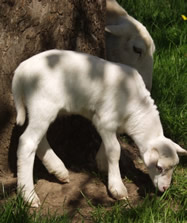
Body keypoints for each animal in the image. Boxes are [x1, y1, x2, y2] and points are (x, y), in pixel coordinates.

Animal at [11, 49, 186, 207]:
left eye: (173, 167)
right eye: (159, 167)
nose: (164, 188)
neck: (136, 105)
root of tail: (20, 71)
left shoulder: (109, 124)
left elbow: (109, 146)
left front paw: (102, 164)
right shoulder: (105, 121)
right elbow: (115, 150)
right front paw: (117, 187)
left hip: (40, 109)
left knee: (39, 141)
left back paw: (58, 170)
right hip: (43, 105)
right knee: (27, 142)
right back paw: (28, 196)